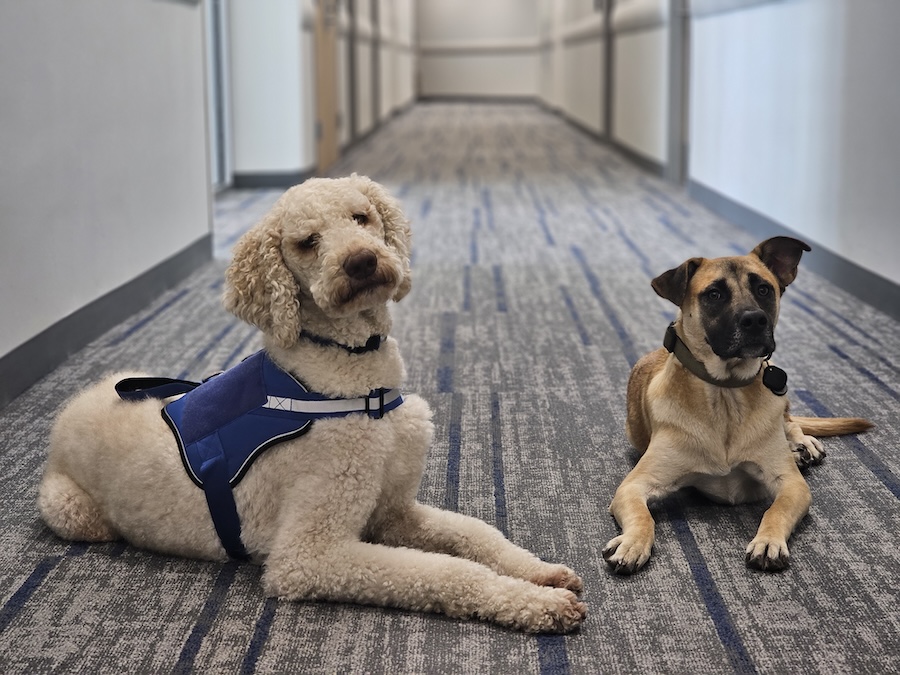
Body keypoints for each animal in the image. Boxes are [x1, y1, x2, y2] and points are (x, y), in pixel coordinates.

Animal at [37, 173, 584, 632]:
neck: (357, 388)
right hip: (69, 509)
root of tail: (67, 411)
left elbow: (476, 533)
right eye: (307, 242)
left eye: (361, 217)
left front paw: (538, 571)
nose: (362, 261)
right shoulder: (310, 556)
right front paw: (538, 604)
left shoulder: (392, 511)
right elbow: (446, 571)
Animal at [604, 238, 872, 576]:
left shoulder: (792, 486)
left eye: (764, 289)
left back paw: (802, 445)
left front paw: (768, 541)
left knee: (790, 422)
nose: (755, 320)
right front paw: (632, 542)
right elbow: (643, 516)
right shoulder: (634, 485)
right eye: (714, 294)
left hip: (782, 402)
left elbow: (775, 510)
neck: (726, 394)